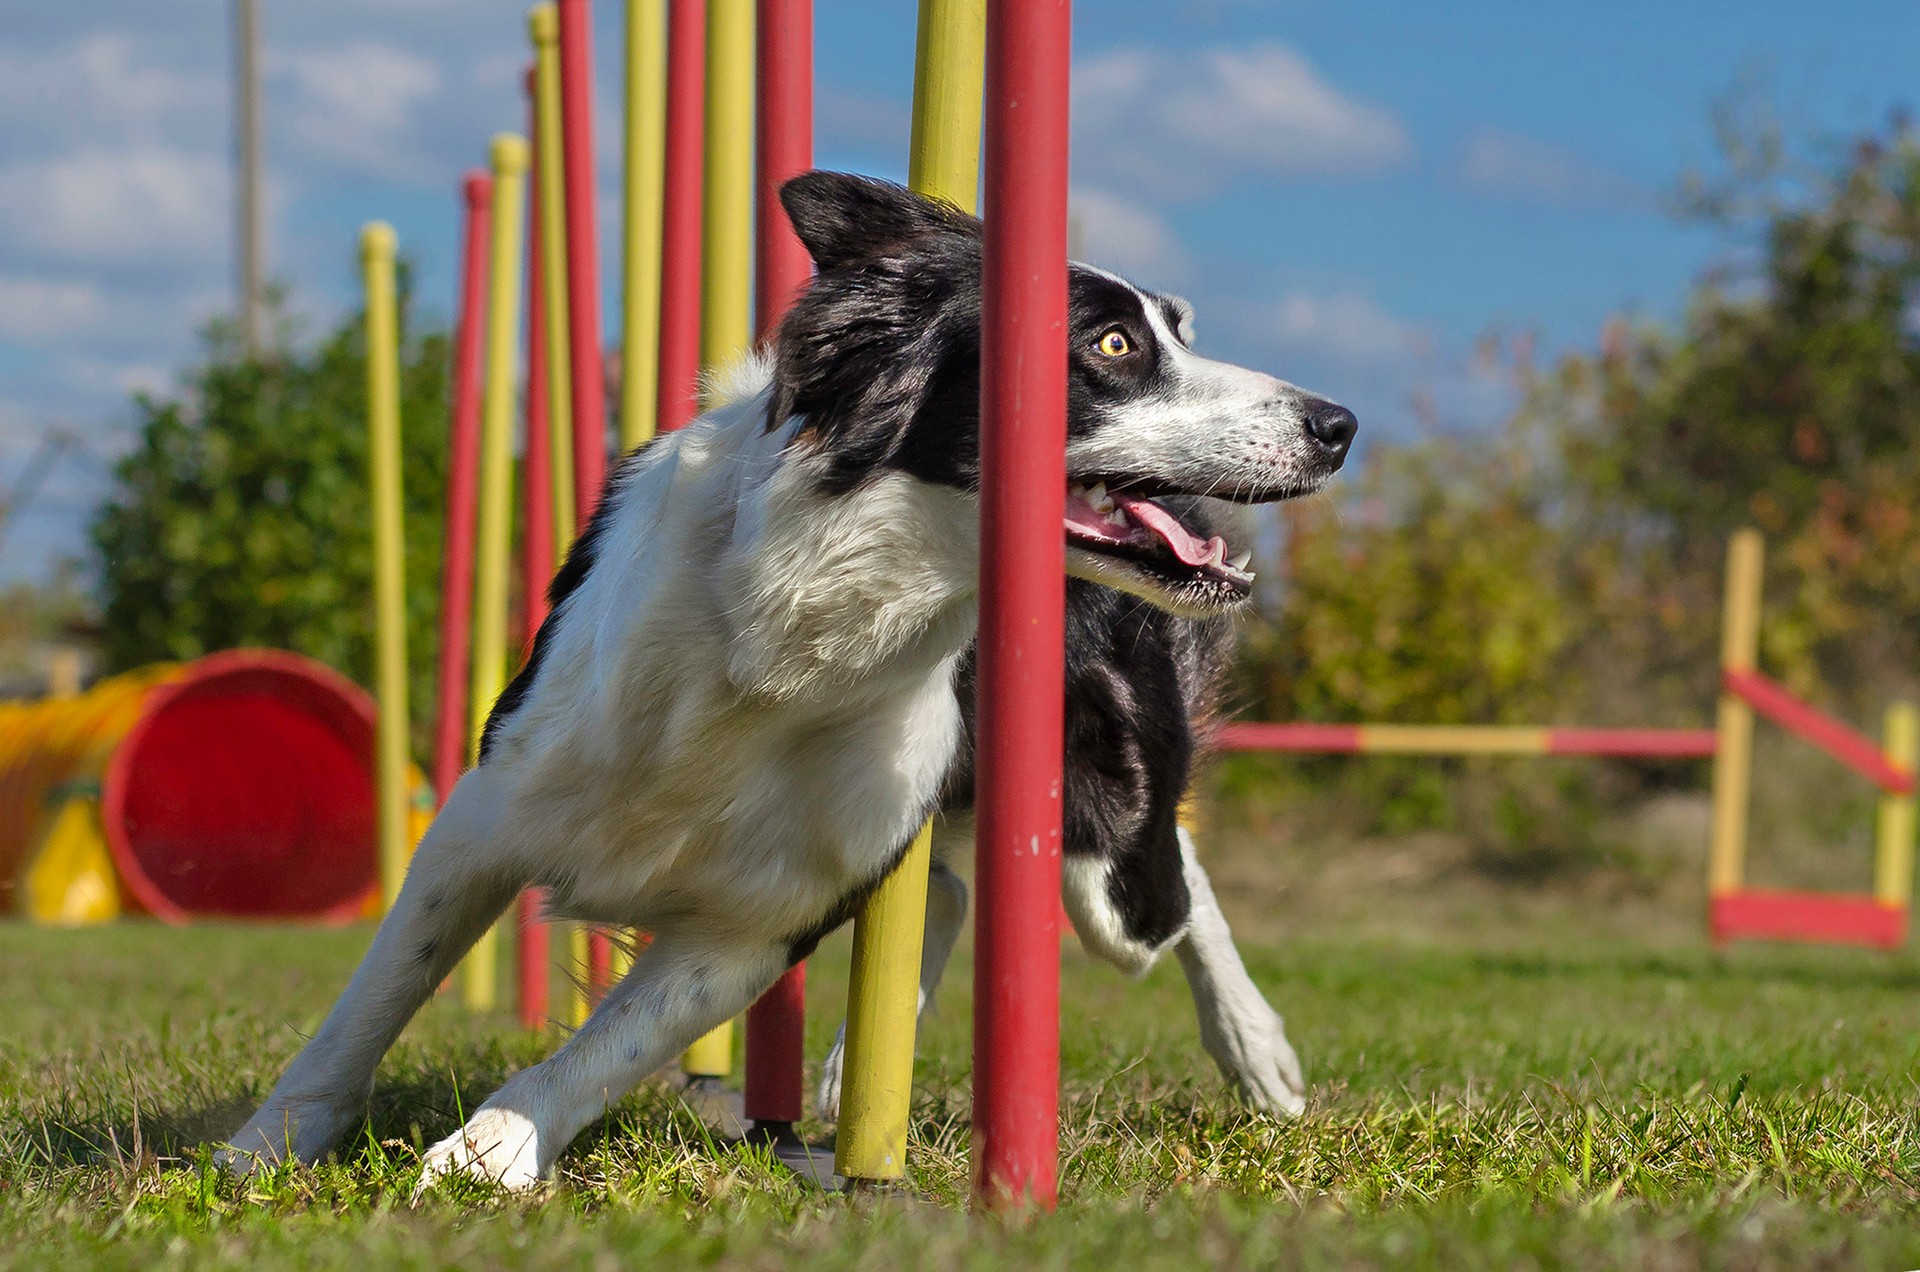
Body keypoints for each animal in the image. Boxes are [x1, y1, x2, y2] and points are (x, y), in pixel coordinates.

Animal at [224, 174, 1359, 1191]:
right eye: (1113, 345)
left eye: (1178, 331)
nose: (1339, 424)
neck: (805, 624)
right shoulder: (488, 809)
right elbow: (373, 996)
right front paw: (266, 1147)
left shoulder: (760, 920)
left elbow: (600, 1051)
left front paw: (488, 1155)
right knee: (960, 887)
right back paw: (860, 1072)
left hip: (1104, 852)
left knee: (1170, 877)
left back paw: (1256, 1050)